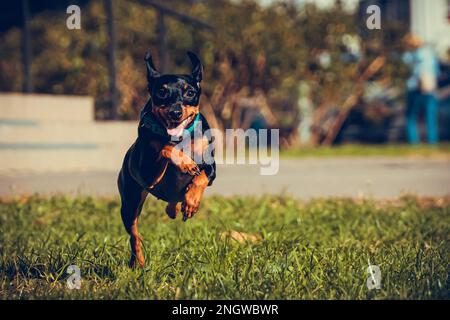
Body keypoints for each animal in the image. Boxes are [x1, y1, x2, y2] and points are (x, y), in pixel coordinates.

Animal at [118, 52, 216, 268]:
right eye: (161, 92)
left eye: (190, 92)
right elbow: (165, 147)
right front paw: (186, 163)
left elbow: (202, 177)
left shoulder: (211, 168)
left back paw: (177, 206)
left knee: (173, 201)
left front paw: (191, 202)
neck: (182, 138)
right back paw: (138, 262)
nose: (175, 112)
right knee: (134, 236)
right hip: (130, 201)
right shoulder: (147, 174)